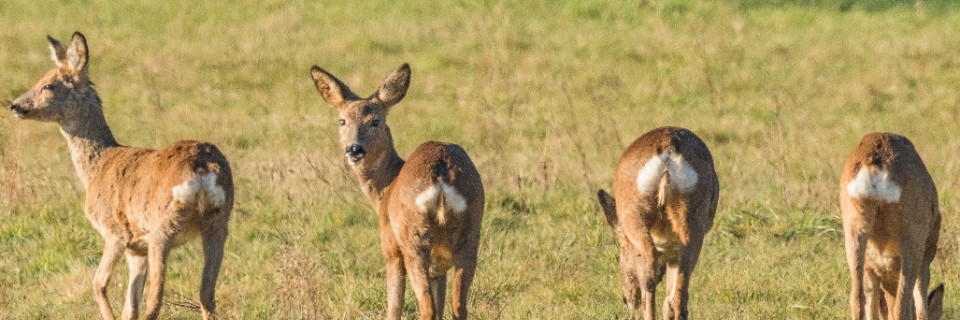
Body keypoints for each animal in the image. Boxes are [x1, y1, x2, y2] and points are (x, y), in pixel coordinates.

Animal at [6, 32, 232, 320]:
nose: (15, 105)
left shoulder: (115, 231)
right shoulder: (137, 249)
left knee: (155, 301)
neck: (97, 166)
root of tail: (202, 168)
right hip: (218, 222)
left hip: (163, 226)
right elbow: (130, 305)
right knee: (206, 295)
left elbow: (99, 283)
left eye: (48, 85)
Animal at [312, 63, 484, 320]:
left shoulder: (391, 251)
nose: (354, 149)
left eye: (375, 121)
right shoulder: (439, 267)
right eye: (342, 121)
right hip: (470, 234)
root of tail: (441, 175)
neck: (385, 188)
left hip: (413, 239)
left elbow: (394, 308)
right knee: (458, 306)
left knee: (427, 307)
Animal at [596, 127, 716, 320]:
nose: (626, 299)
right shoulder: (673, 253)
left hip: (634, 214)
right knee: (680, 293)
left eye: (618, 258)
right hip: (691, 222)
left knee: (650, 274)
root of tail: (668, 148)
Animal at [840, 131, 944, 318]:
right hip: (912, 238)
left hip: (854, 230)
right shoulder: (926, 255)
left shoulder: (871, 267)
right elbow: (921, 306)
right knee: (901, 307)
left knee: (857, 299)